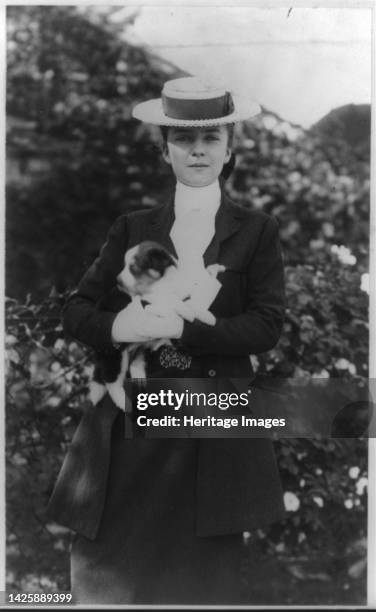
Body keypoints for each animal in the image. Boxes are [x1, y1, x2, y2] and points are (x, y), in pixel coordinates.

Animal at [89, 240, 222, 412]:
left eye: (133, 267)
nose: (117, 281)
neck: (161, 283)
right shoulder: (147, 301)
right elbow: (170, 301)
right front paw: (187, 311)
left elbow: (187, 302)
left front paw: (206, 316)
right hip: (114, 354)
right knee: (111, 381)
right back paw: (125, 404)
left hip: (139, 348)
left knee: (135, 363)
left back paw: (140, 381)